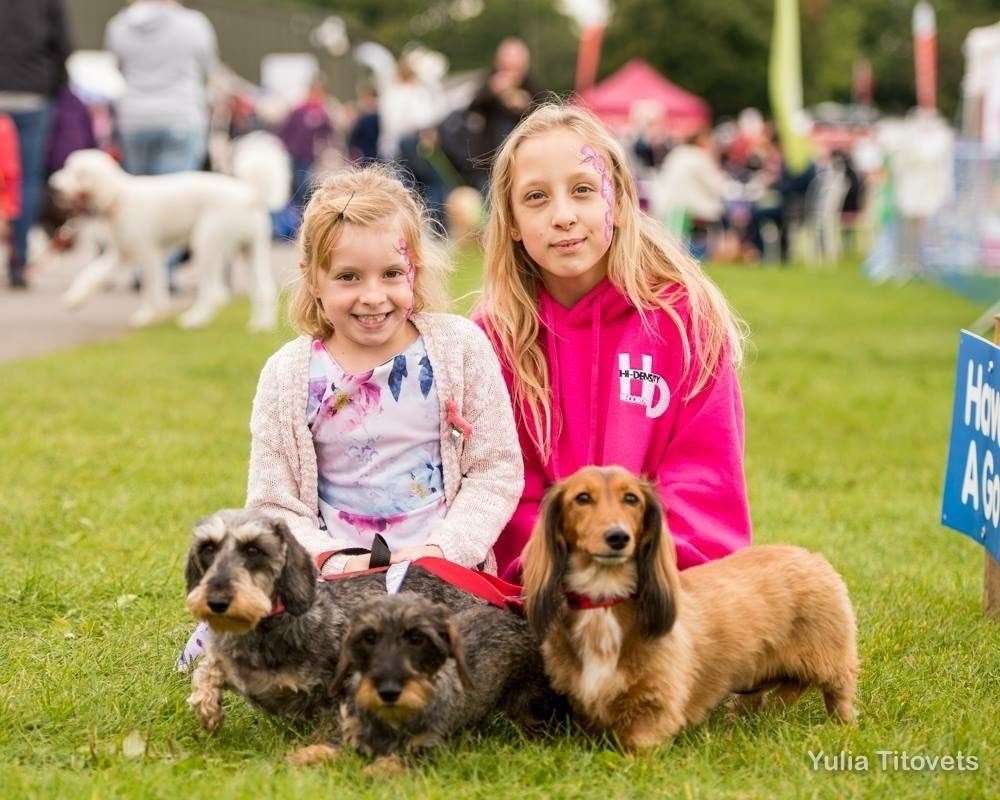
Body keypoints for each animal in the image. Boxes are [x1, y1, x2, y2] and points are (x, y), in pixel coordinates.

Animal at [51, 141, 290, 332]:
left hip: (207, 243)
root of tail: (250, 194)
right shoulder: (123, 253)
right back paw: (261, 325)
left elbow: (149, 287)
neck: (119, 196)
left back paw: (195, 319)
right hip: (251, 249)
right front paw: (75, 298)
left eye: (78, 173)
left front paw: (146, 315)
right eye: (66, 167)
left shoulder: (147, 252)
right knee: (264, 289)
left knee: (212, 293)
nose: (53, 186)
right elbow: (92, 273)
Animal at [188, 510, 484, 736]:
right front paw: (208, 711)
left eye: (253, 549)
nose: (217, 601)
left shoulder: (332, 690)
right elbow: (205, 672)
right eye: (208, 549)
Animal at [290, 592, 552, 768]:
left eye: (417, 639)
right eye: (369, 637)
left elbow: (399, 759)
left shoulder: (428, 747)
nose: (388, 691)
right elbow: (335, 743)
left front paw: (377, 770)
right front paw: (307, 755)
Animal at [524, 466, 860, 752]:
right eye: (582, 497)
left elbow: (638, 744)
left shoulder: (653, 706)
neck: (605, 600)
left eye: (631, 498)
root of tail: (812, 557)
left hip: (831, 659)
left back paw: (840, 726)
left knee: (839, 693)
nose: (618, 537)